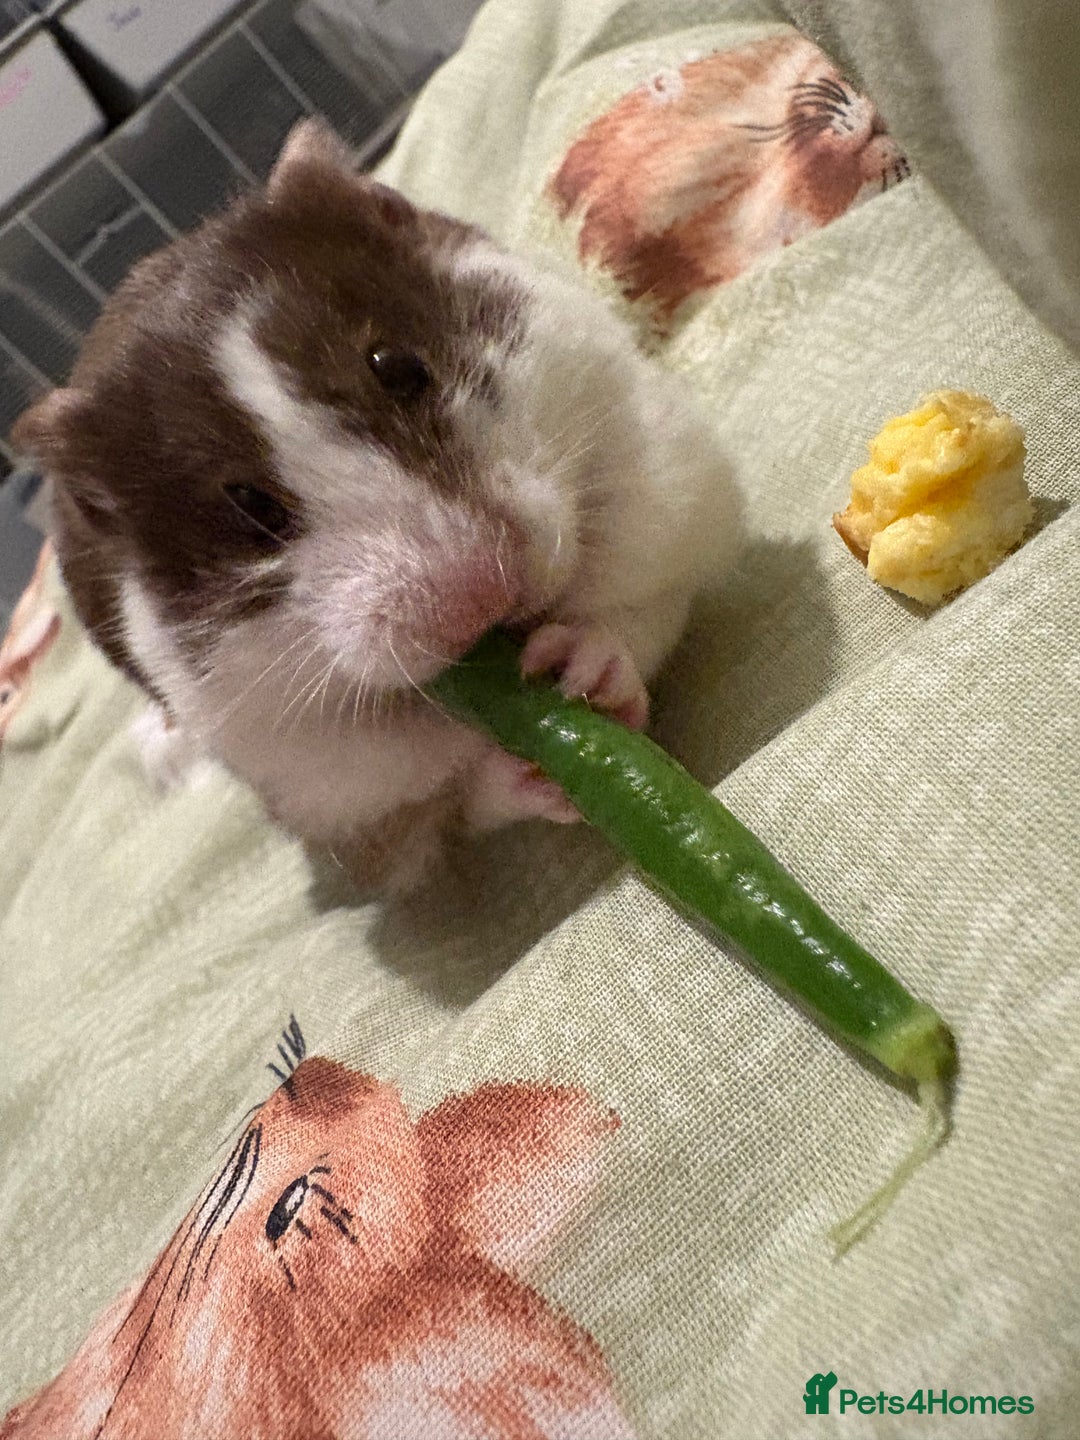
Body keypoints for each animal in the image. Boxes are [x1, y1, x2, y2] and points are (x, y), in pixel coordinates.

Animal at [12, 120, 742, 897]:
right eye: (253, 508)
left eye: (399, 367)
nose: (481, 599)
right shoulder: (320, 781)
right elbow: (445, 797)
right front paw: (531, 772)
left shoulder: (656, 475)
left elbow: (634, 604)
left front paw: (582, 666)